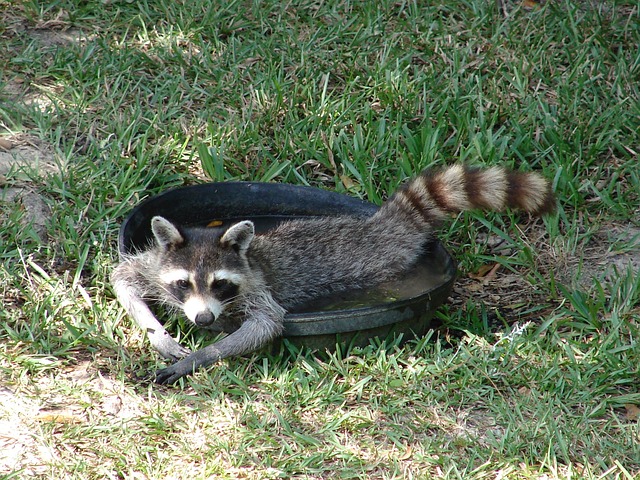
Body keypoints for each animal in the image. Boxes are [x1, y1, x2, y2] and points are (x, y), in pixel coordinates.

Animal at [111, 164, 556, 382]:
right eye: (184, 283)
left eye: (220, 284)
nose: (203, 320)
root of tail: (379, 226)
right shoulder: (156, 264)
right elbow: (123, 277)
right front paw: (158, 333)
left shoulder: (257, 287)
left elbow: (267, 324)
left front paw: (200, 356)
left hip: (385, 260)